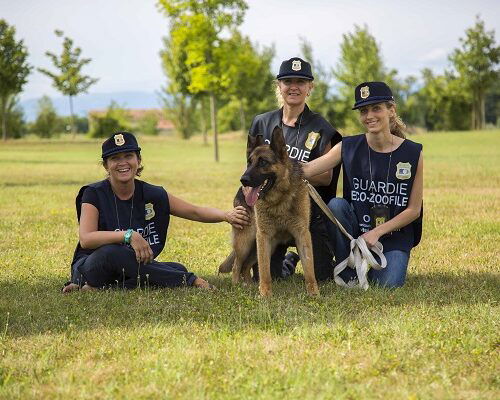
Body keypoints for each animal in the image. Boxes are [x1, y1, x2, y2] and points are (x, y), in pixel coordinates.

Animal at [220, 127, 320, 296]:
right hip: (246, 242)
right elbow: (264, 270)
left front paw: (314, 293)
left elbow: (309, 268)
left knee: (246, 266)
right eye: (249, 162)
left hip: (263, 246)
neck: (280, 199)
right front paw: (266, 295)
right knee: (237, 265)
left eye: (263, 162)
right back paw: (237, 287)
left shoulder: (302, 235)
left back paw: (249, 285)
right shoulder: (264, 237)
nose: (243, 180)